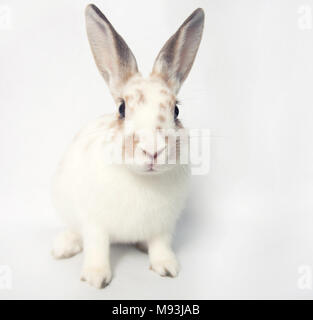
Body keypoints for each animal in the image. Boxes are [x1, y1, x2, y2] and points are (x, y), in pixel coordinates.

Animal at [51, 3, 204, 288]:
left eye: (176, 111)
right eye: (122, 109)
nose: (153, 150)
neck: (142, 181)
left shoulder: (163, 226)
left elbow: (160, 245)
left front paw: (168, 267)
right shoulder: (95, 223)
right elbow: (97, 246)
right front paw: (96, 277)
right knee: (76, 232)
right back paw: (63, 247)